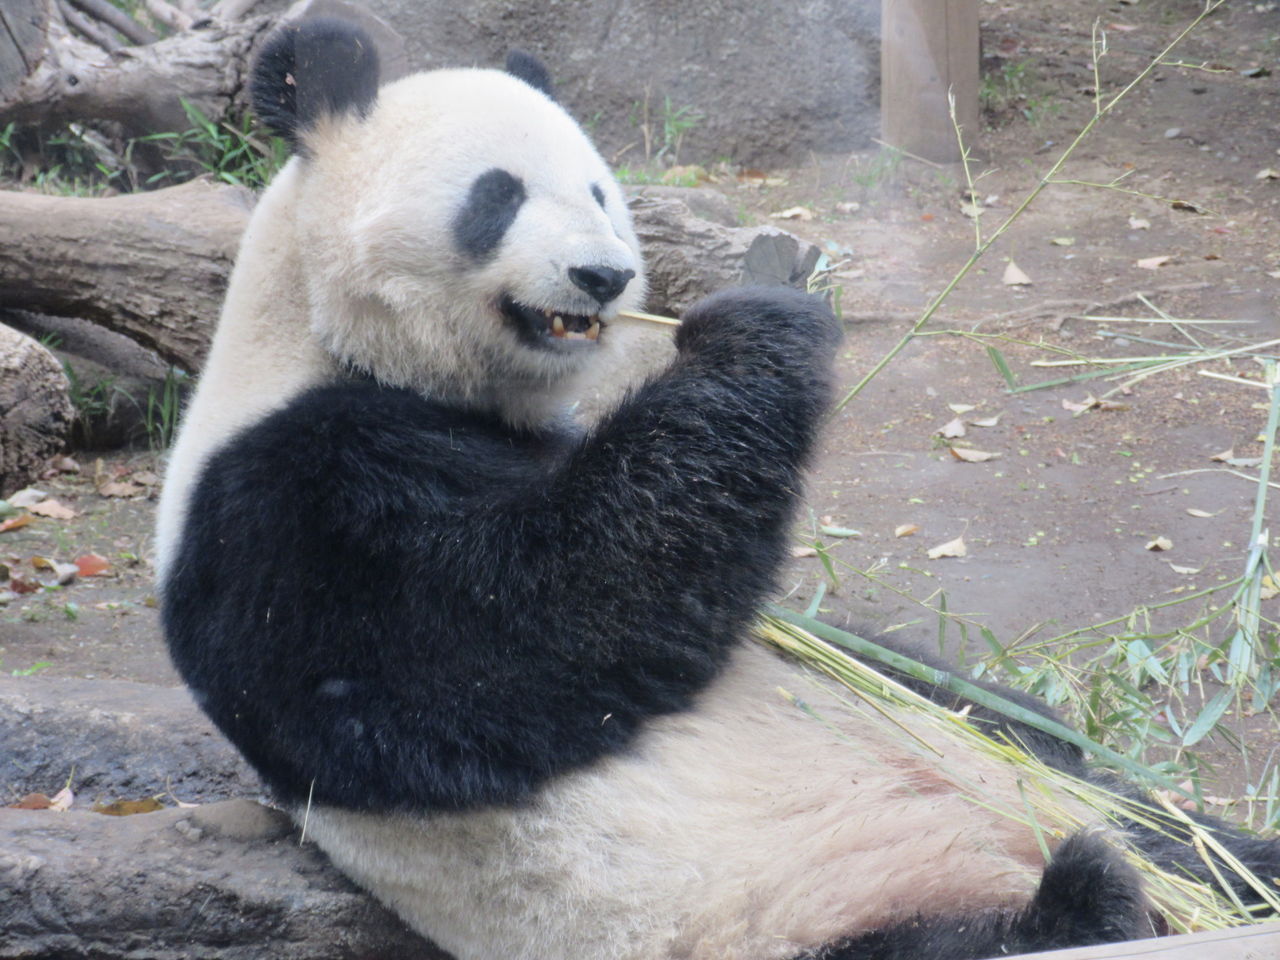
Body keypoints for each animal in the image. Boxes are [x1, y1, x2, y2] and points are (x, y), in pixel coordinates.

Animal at [160, 16, 1280, 960]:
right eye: (497, 195)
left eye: (600, 190)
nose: (604, 277)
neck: (327, 340)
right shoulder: (285, 505)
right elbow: (538, 620)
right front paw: (758, 325)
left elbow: (897, 666)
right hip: (806, 917)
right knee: (977, 936)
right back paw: (1090, 896)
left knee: (1188, 837)